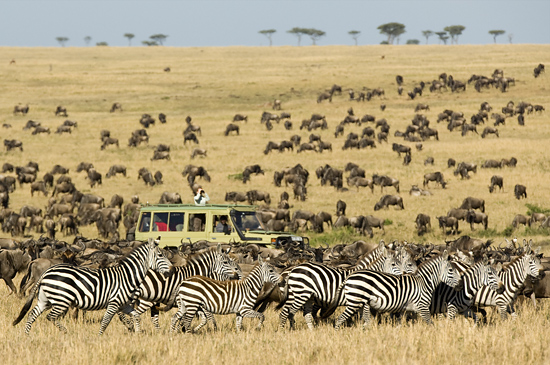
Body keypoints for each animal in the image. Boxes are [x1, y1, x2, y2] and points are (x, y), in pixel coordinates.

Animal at [12, 237, 174, 334]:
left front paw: (137, 333)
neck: (127, 276)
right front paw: (99, 337)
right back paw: (65, 332)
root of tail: (47, 271)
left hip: (45, 299)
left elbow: (136, 316)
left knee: (32, 314)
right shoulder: (114, 303)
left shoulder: (124, 305)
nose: (172, 269)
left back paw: (27, 335)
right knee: (50, 317)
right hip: (61, 300)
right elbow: (105, 322)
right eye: (160, 255)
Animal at [278, 242, 416, 330]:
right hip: (299, 294)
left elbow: (364, 316)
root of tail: (292, 269)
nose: (406, 275)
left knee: (302, 314)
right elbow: (367, 316)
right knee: (286, 312)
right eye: (394, 264)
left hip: (306, 296)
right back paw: (283, 331)